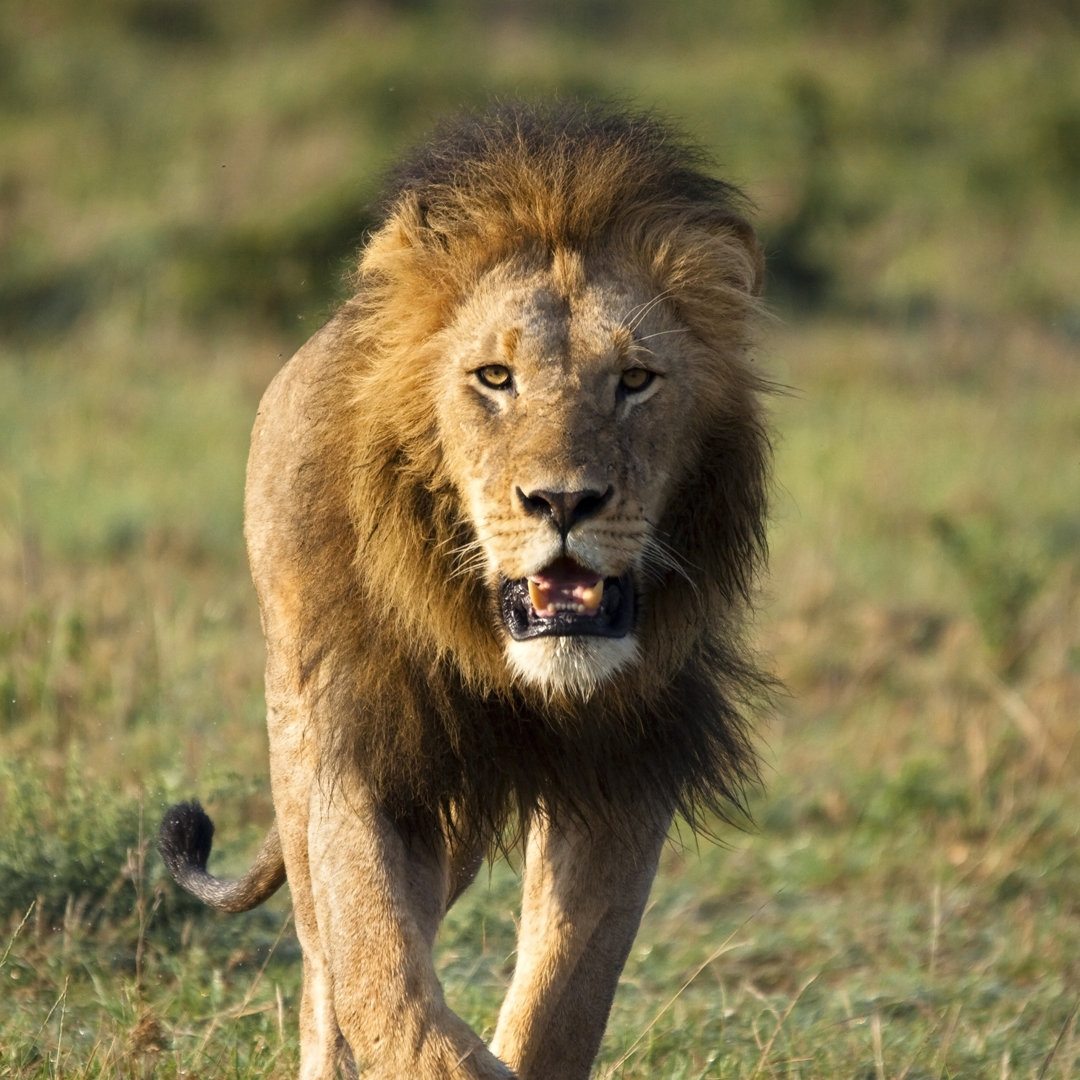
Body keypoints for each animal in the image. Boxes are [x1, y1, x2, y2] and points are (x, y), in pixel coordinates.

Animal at [157, 103, 768, 1080]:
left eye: (636, 380)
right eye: (494, 377)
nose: (564, 501)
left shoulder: (628, 770)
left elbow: (565, 991)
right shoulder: (356, 750)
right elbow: (382, 977)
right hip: (301, 741)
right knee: (325, 966)